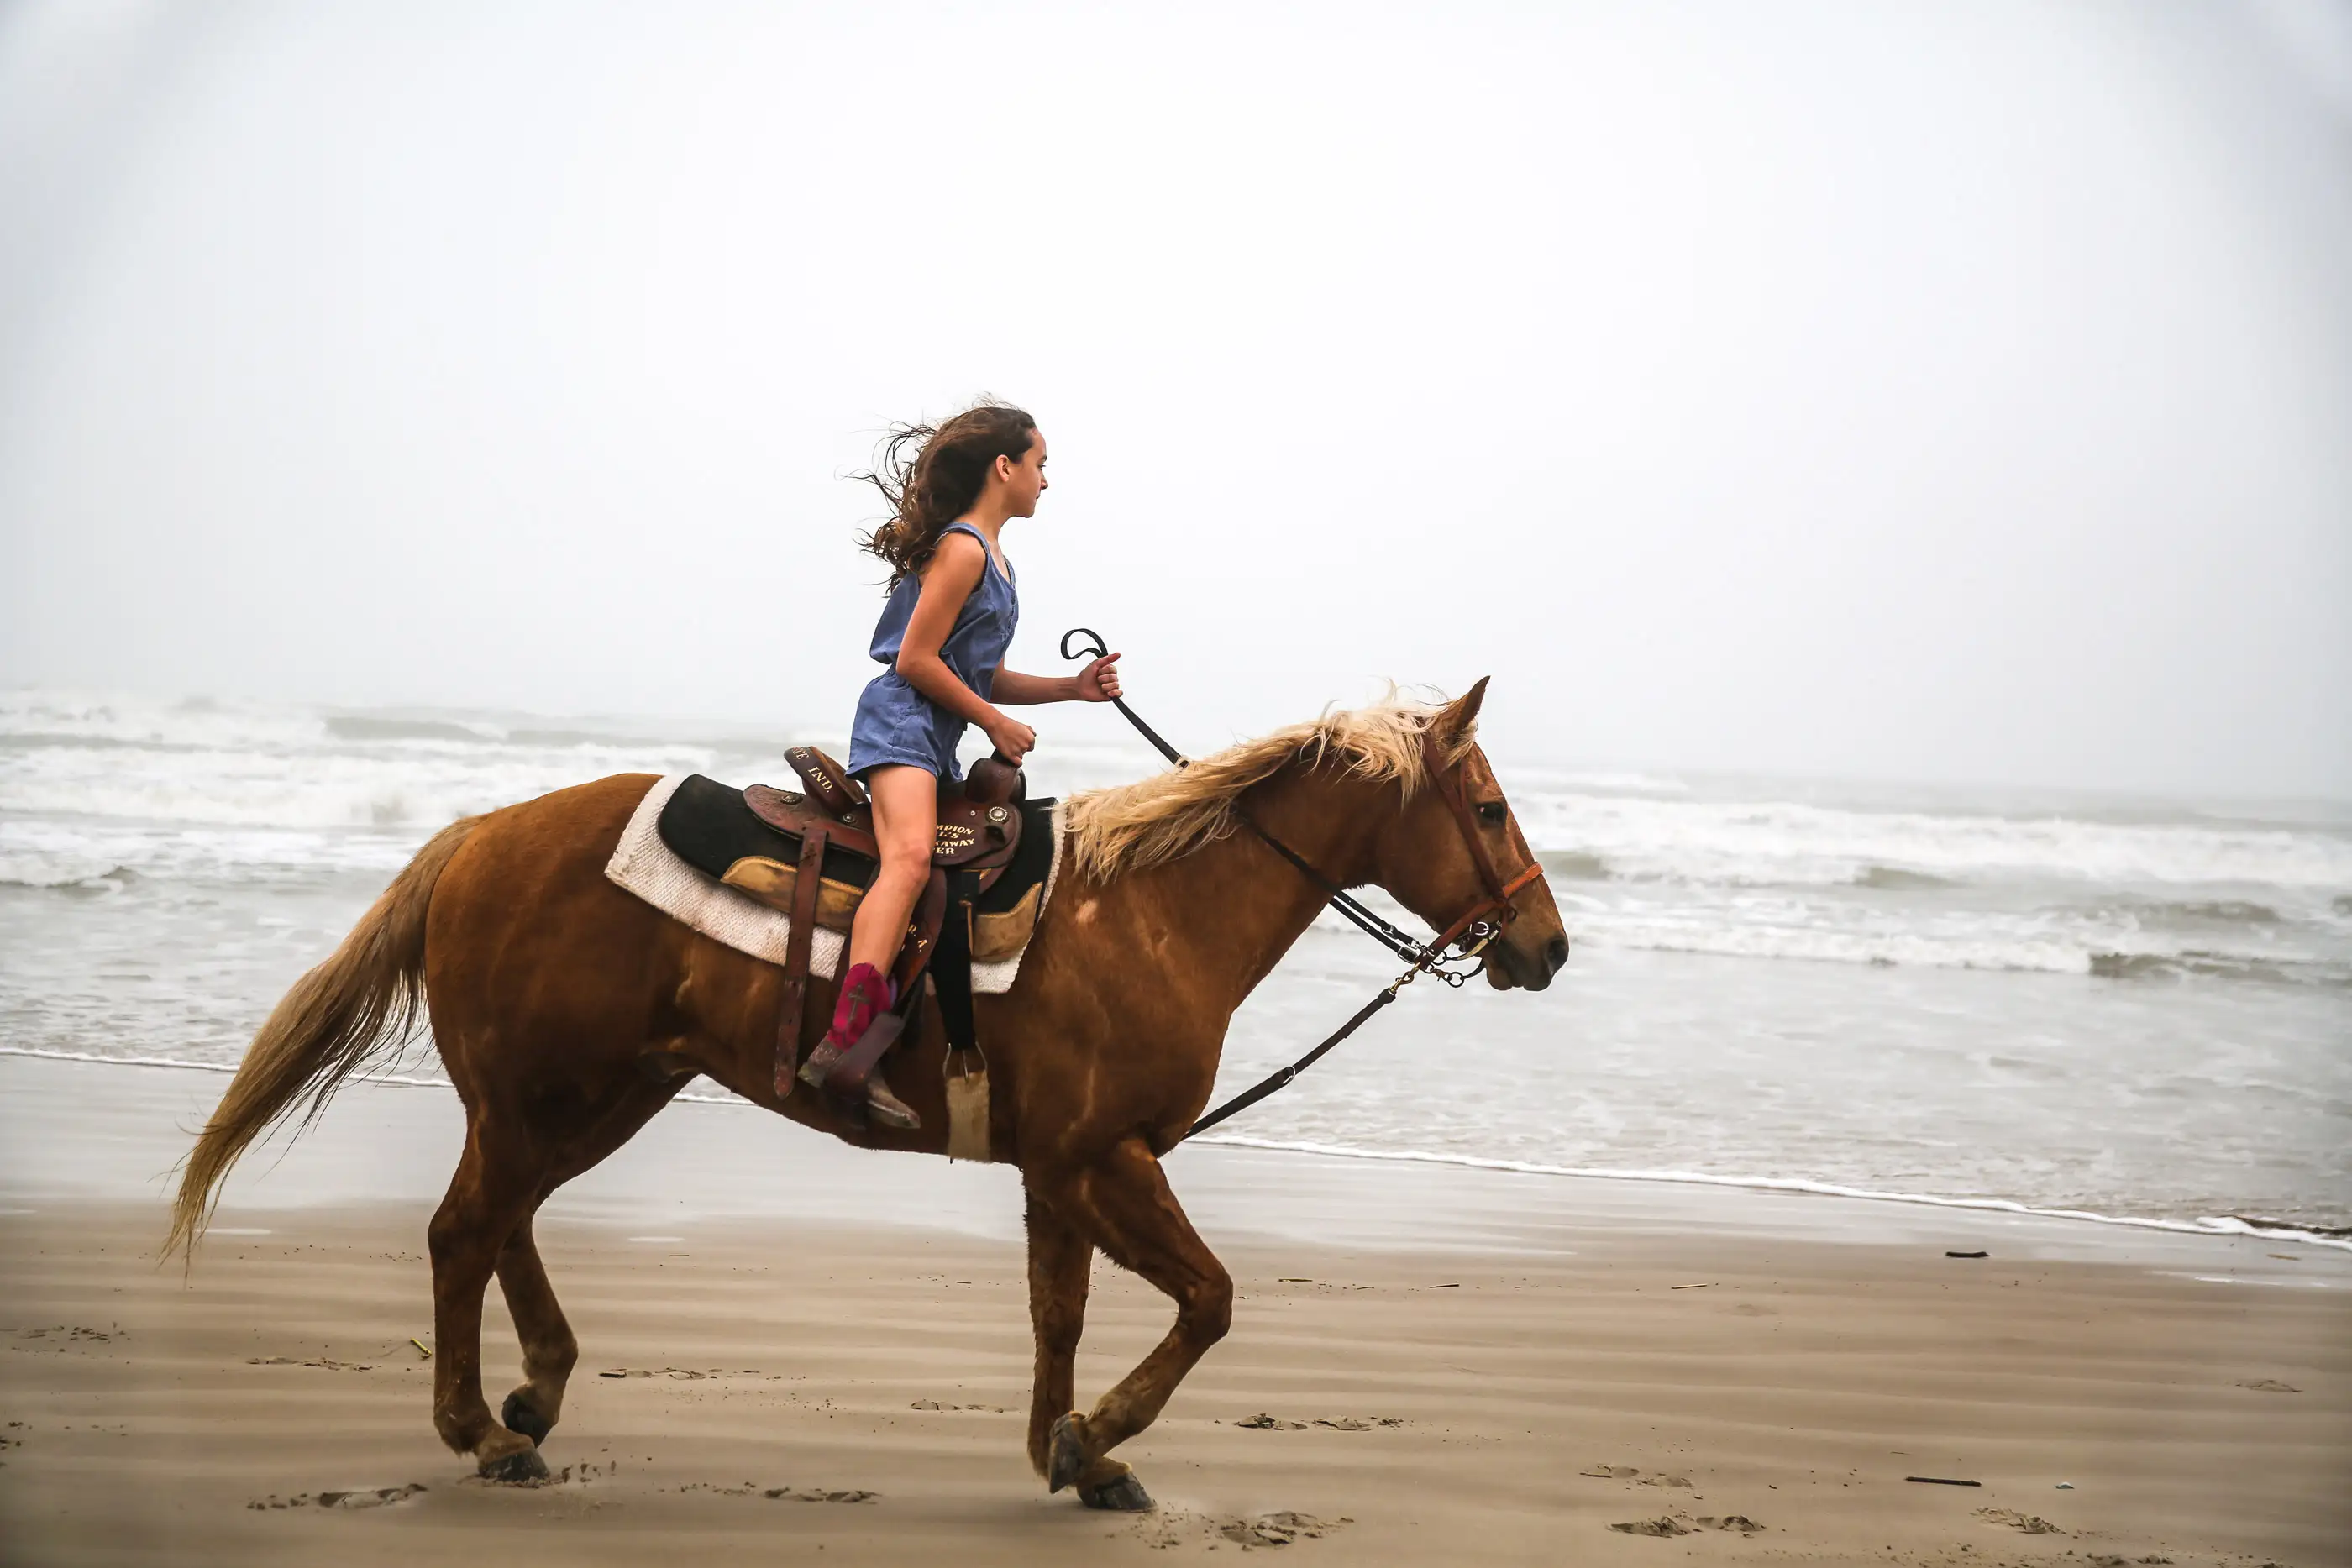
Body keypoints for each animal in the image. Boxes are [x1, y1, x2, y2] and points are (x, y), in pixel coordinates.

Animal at [165, 681, 1562, 1513]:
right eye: (1490, 806)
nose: (1545, 946)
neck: (1149, 910)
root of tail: (478, 833)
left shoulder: (1059, 1169)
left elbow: (1059, 1311)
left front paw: (1071, 1446)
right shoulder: (1106, 1157)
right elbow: (1210, 1298)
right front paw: (1099, 1433)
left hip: (596, 1092)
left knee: (500, 1222)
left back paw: (536, 1391)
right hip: (549, 1097)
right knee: (465, 1229)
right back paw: (488, 1428)